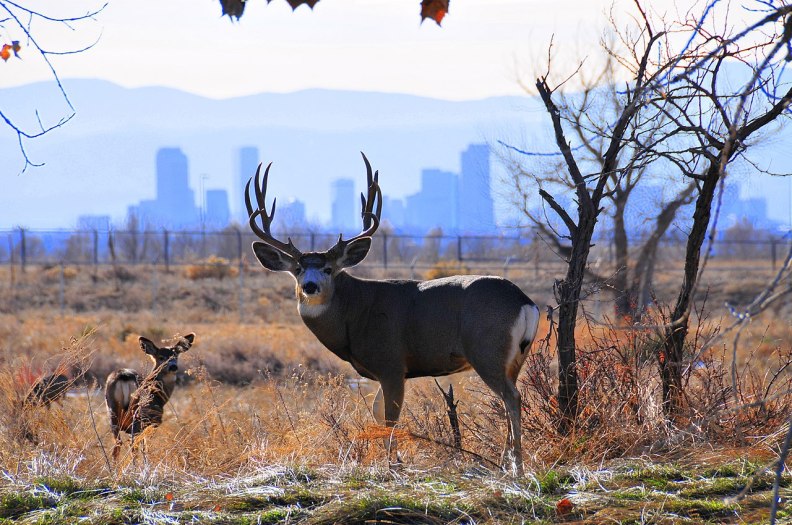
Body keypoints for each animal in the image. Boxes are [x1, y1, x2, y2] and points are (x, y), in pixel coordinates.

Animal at [245, 154, 540, 476]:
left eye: (328, 269)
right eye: (298, 269)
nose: (310, 286)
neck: (355, 314)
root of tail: (525, 302)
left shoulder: (391, 362)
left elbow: (389, 416)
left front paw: (391, 464)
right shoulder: (383, 370)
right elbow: (377, 411)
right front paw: (394, 459)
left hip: (487, 349)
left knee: (511, 397)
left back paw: (517, 467)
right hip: (516, 358)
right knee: (510, 398)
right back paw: (505, 462)